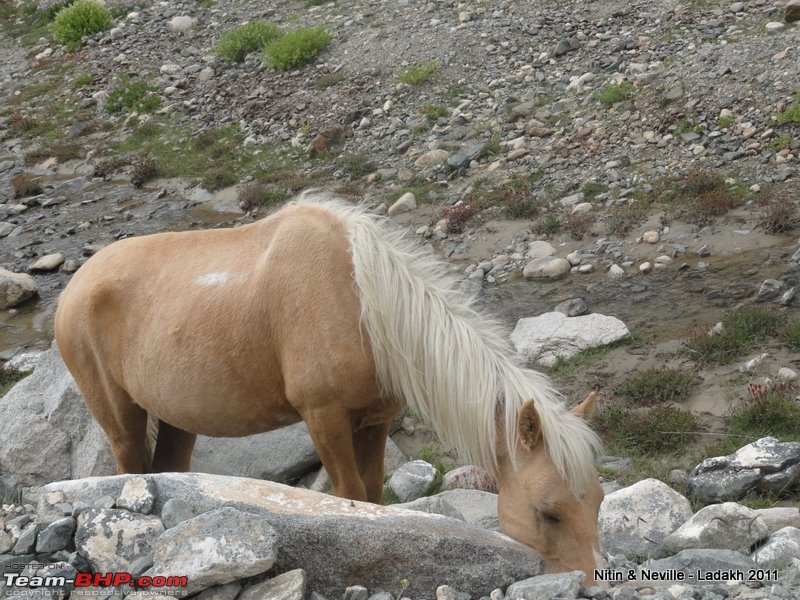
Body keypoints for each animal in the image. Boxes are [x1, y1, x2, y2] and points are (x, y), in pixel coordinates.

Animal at [56, 195, 604, 584]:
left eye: (597, 501)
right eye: (548, 512)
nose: (589, 583)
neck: (364, 303)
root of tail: (78, 284)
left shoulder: (376, 420)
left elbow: (374, 496)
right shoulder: (325, 418)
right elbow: (351, 496)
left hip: (176, 420)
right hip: (120, 419)